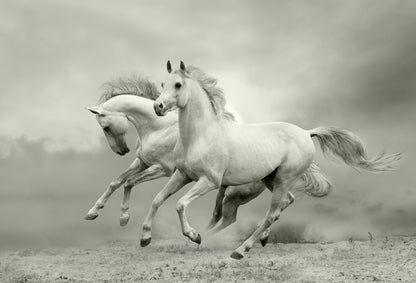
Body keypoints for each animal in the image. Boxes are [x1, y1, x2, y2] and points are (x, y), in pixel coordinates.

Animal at [154, 61, 402, 260]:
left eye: (178, 85)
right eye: (162, 84)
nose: (158, 106)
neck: (201, 134)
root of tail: (307, 133)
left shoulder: (209, 181)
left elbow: (180, 204)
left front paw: (194, 235)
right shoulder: (183, 175)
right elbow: (158, 200)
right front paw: (149, 236)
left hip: (283, 178)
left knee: (271, 213)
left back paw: (241, 250)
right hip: (270, 179)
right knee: (284, 203)